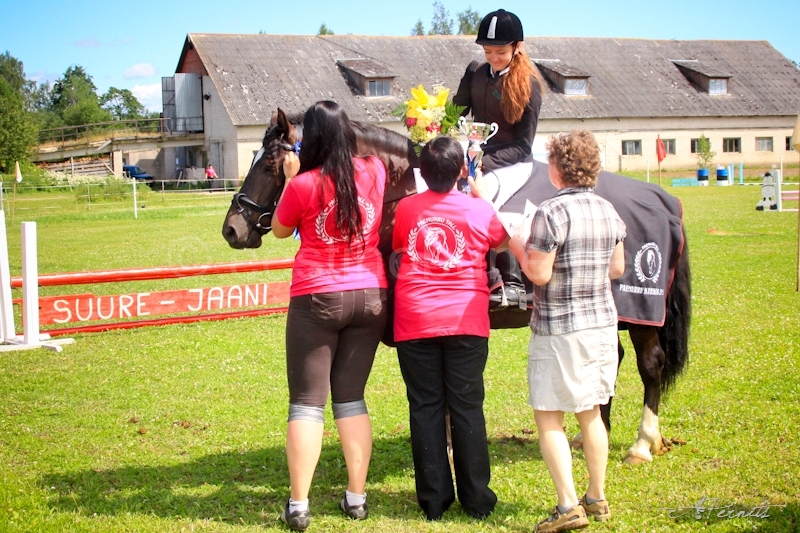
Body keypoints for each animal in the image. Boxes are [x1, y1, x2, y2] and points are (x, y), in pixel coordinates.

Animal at [221, 108, 691, 465]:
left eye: (270, 165)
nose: (232, 229)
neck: (399, 198)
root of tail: (661, 199)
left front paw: (445, 452)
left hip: (641, 311)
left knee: (650, 364)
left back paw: (641, 444)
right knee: (612, 358)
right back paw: (593, 431)